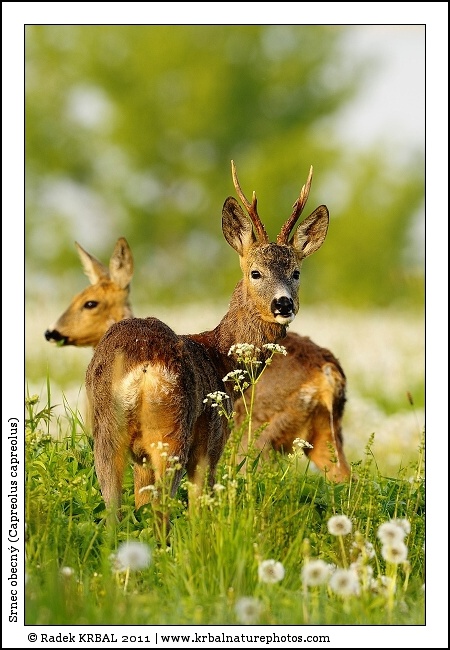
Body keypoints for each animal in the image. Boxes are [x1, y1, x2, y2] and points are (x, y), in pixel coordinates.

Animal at [83, 160, 331, 532]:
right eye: (255, 272)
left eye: (296, 272)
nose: (283, 304)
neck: (220, 361)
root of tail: (143, 367)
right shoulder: (213, 441)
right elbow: (201, 505)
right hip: (174, 433)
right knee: (165, 507)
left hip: (107, 431)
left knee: (114, 508)